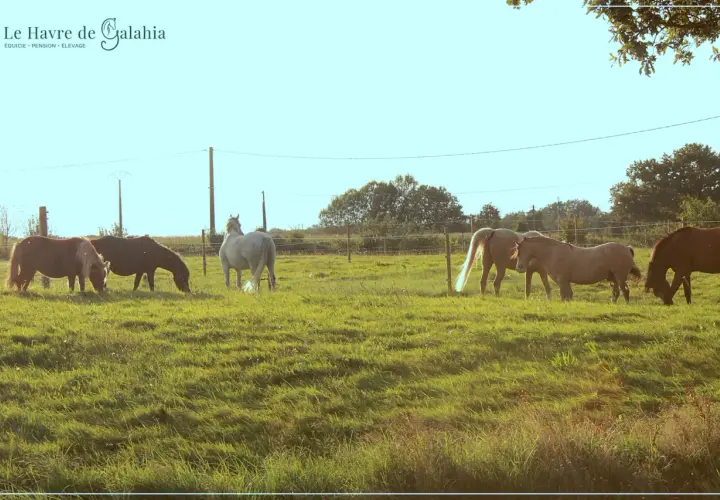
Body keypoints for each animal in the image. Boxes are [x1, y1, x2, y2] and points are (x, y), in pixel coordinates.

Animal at [512, 236, 642, 303]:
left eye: (519, 250)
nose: (519, 268)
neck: (553, 253)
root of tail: (627, 248)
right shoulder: (566, 281)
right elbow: (569, 296)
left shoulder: (562, 281)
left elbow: (563, 296)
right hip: (613, 278)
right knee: (616, 292)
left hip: (620, 277)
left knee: (625, 291)